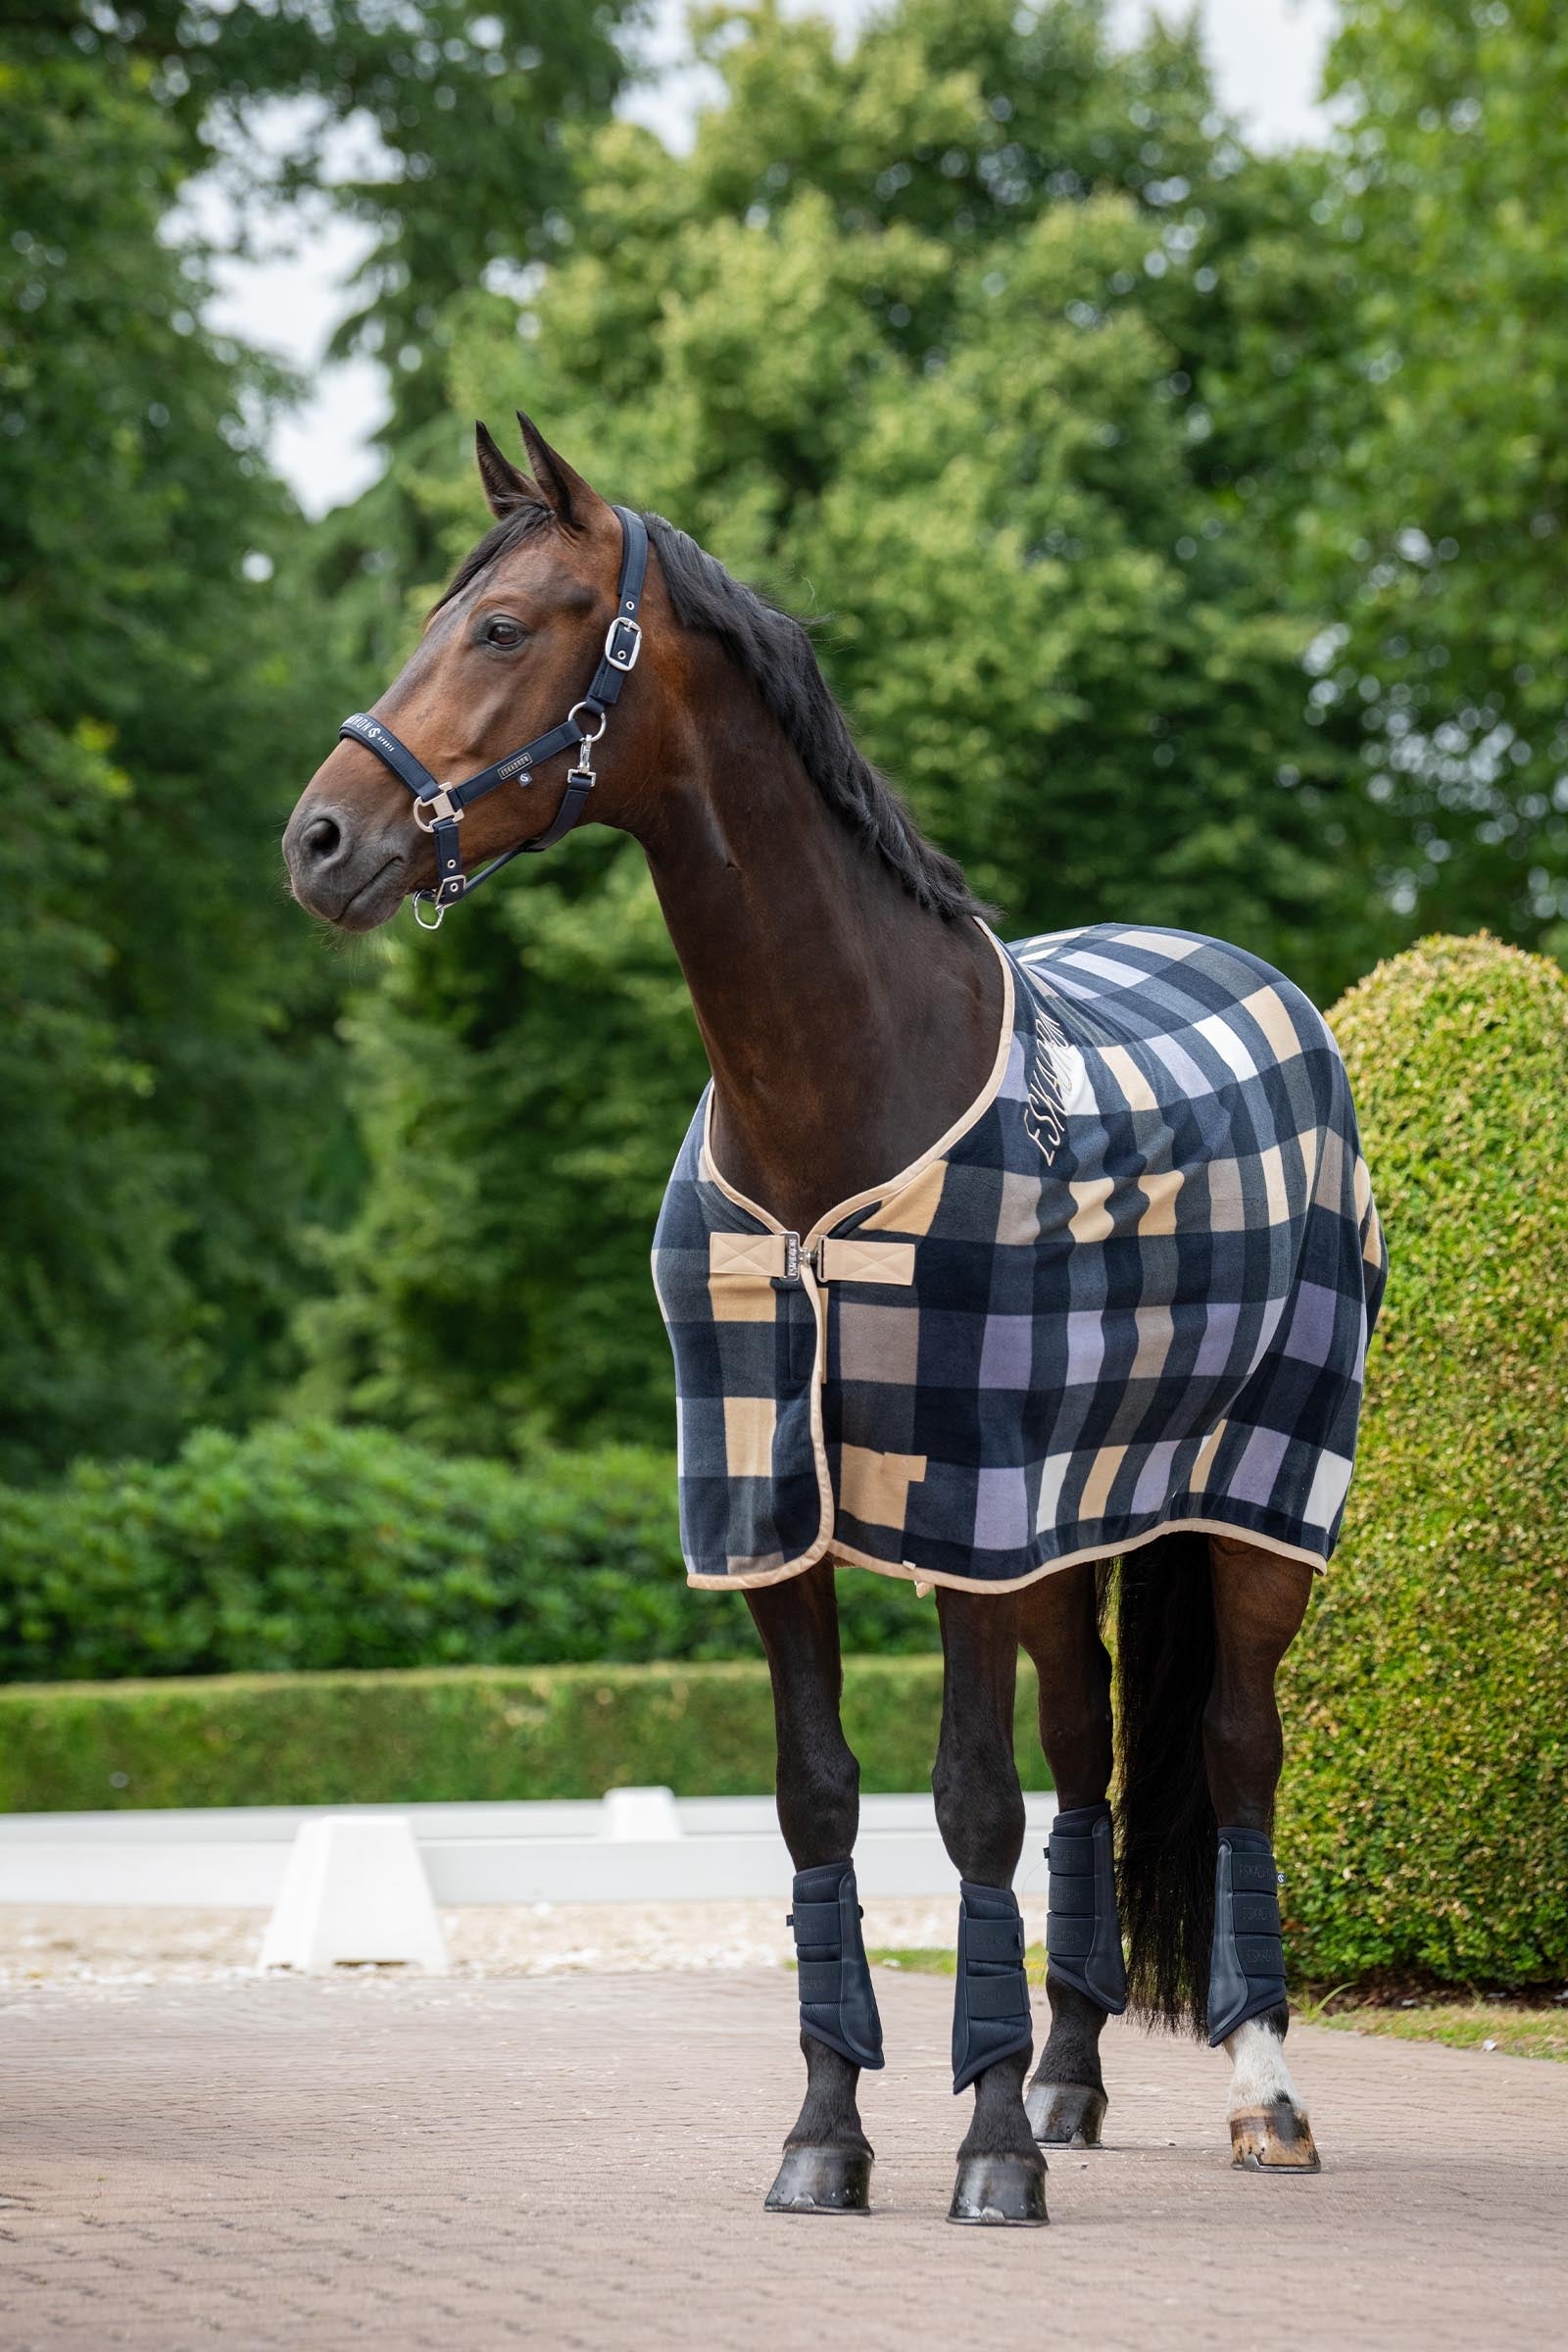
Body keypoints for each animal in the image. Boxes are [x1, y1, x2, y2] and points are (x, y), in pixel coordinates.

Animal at [283, 414, 1385, 2226]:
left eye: (504, 625)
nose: (318, 842)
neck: (840, 1096)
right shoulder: (770, 1510)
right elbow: (821, 1804)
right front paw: (832, 2134)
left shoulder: (967, 1515)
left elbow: (972, 1808)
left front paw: (989, 2151)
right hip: (1076, 1535)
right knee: (1095, 1758)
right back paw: (1075, 2077)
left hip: (1256, 1508)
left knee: (1234, 1751)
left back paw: (1265, 2096)